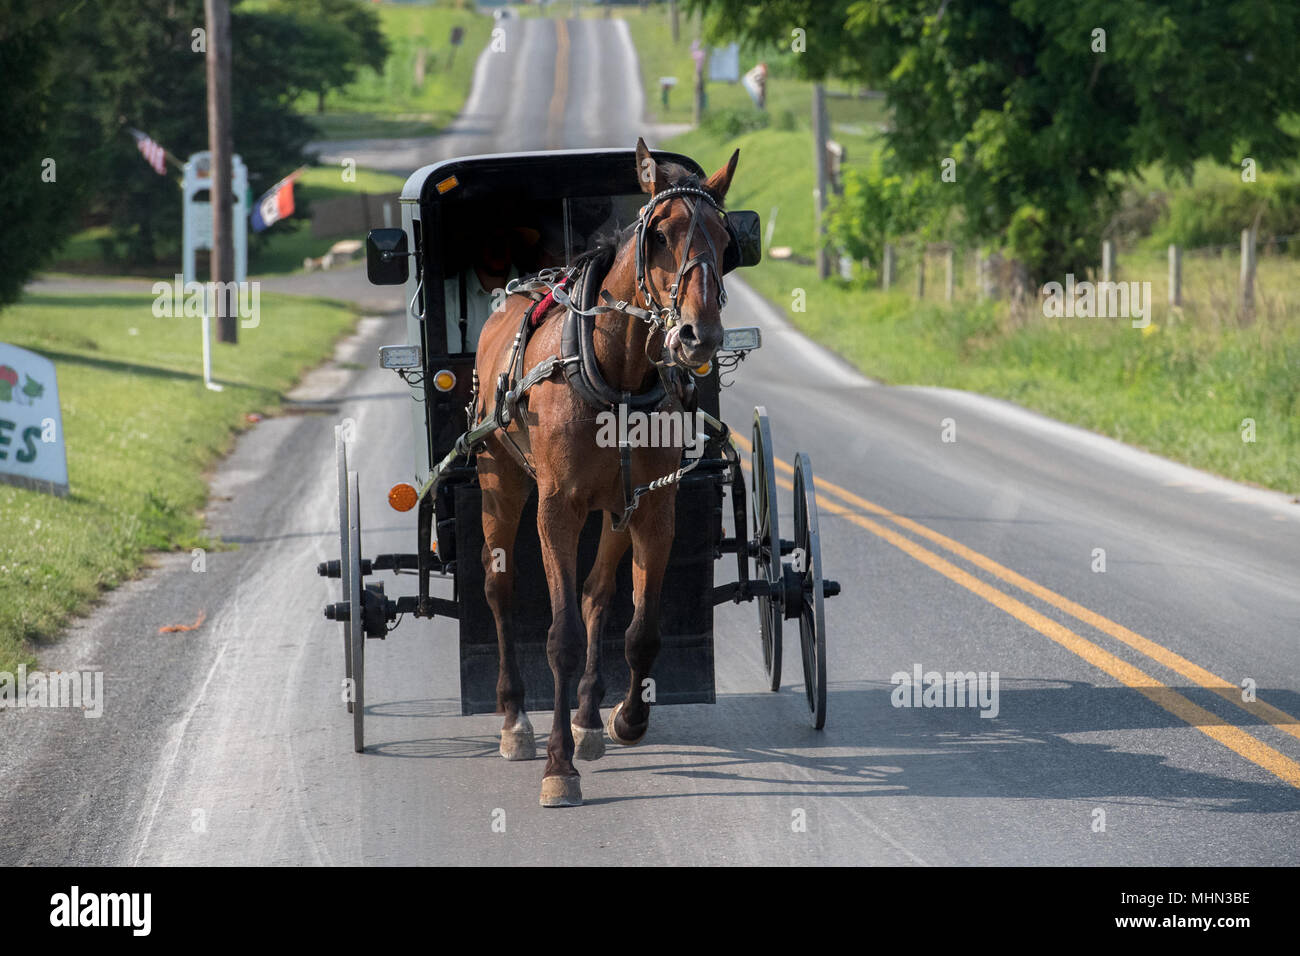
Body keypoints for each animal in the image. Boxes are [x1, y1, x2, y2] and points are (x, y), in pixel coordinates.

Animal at [472, 138, 739, 807]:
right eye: (661, 235)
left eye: (727, 240)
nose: (699, 336)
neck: (616, 372)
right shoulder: (556, 507)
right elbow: (561, 636)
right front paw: (557, 765)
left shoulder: (653, 506)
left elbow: (639, 630)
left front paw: (624, 718)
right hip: (499, 480)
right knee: (499, 587)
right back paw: (514, 718)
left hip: (616, 507)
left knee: (597, 595)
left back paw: (589, 718)